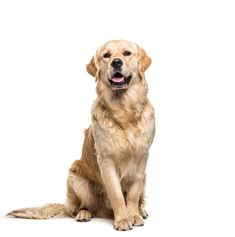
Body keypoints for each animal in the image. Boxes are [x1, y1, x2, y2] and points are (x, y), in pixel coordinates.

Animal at [7, 39, 155, 231]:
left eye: (127, 53)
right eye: (106, 55)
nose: (116, 62)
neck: (124, 110)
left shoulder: (142, 157)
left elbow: (133, 194)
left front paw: (134, 215)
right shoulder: (106, 160)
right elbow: (116, 194)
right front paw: (123, 219)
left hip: (144, 177)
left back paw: (141, 211)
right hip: (77, 179)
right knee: (79, 207)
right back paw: (84, 213)